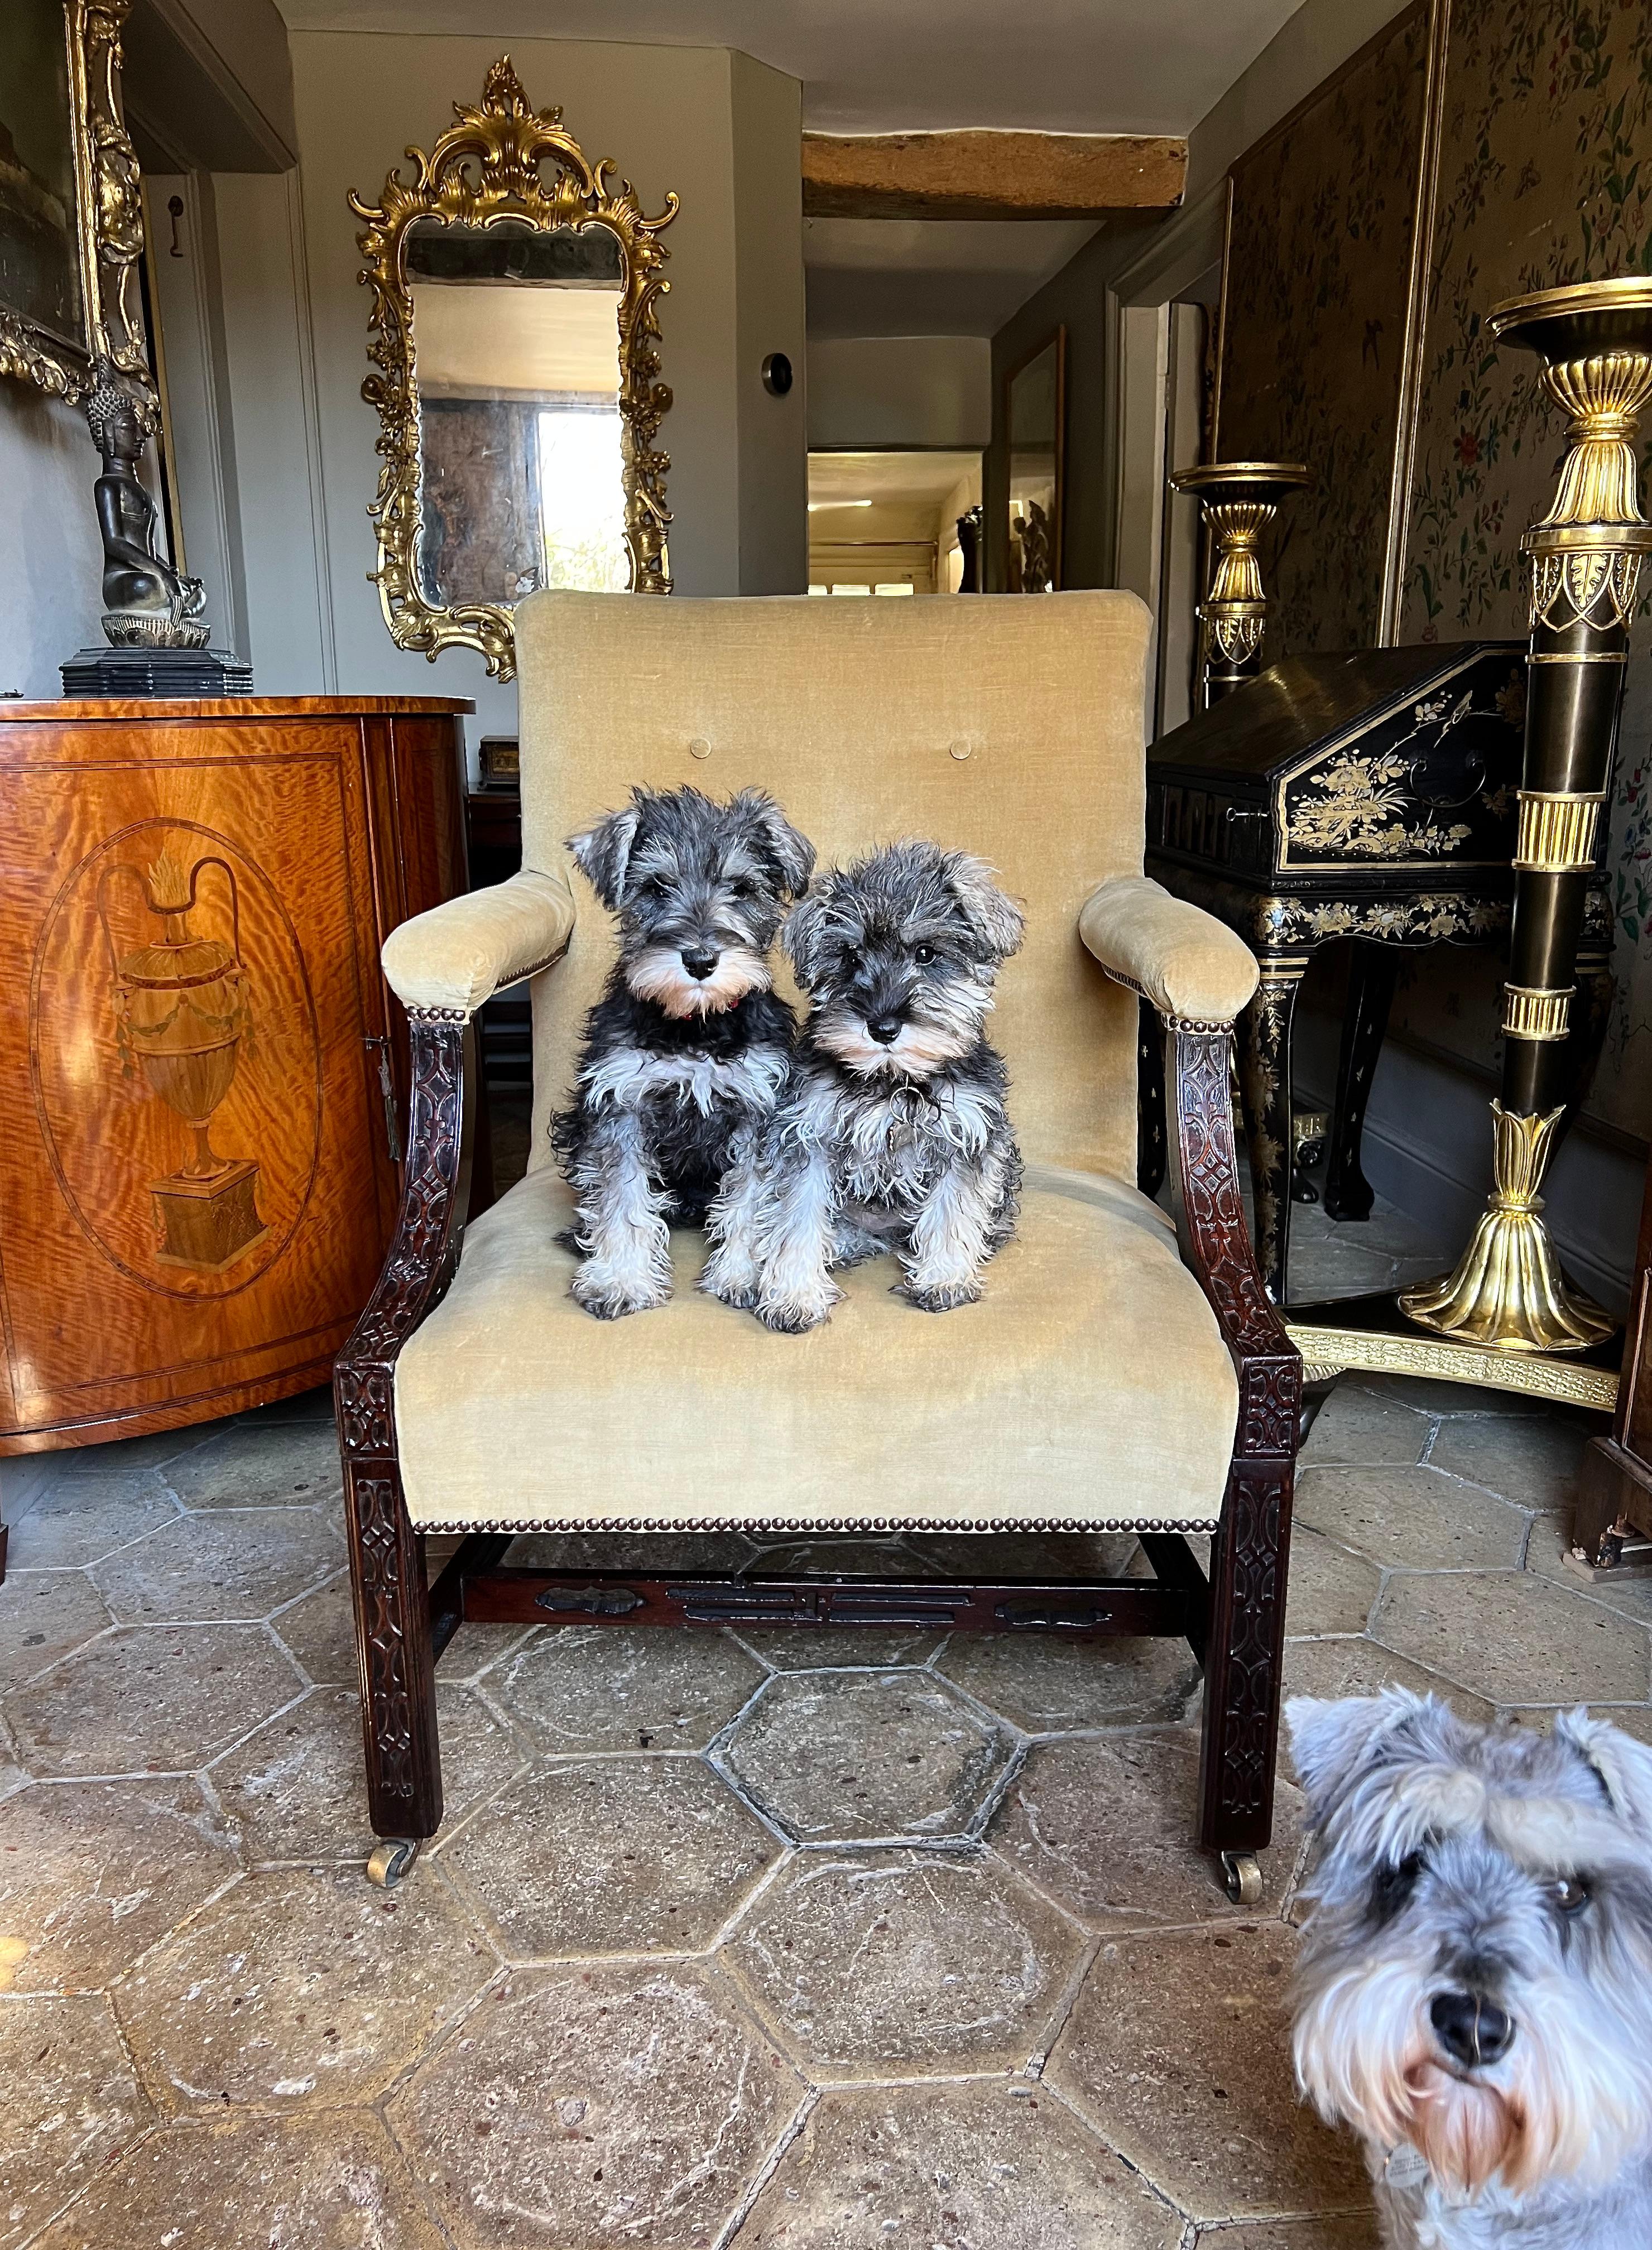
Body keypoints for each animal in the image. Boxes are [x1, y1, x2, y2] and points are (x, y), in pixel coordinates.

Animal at [556, 787, 814, 1314]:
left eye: (741, 888)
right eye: (657, 888)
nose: (700, 960)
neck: (696, 1027)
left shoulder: (757, 1111)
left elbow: (750, 1201)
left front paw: (743, 1276)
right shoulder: (622, 1107)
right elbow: (622, 1199)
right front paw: (621, 1280)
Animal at [707, 846, 1030, 1331]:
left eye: (926, 953)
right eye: (850, 957)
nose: (882, 1027)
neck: (893, 1081)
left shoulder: (966, 1142)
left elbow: (952, 1212)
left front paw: (944, 1279)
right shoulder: (809, 1139)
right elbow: (797, 1221)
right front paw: (795, 1297)